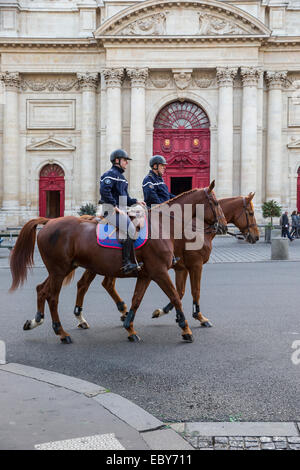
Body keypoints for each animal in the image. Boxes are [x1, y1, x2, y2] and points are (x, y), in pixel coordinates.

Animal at [9, 184, 226, 346]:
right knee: (53, 297)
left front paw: (130, 327)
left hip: (63, 269)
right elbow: (176, 296)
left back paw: (36, 321)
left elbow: (137, 300)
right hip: (60, 271)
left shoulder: (147, 274)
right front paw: (186, 328)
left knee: (43, 290)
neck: (164, 226)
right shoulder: (162, 272)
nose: (223, 226)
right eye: (215, 202)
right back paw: (61, 332)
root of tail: (49, 222)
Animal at [69, 193, 258, 328]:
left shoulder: (181, 268)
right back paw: (83, 317)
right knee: (85, 285)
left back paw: (117, 312)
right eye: (250, 213)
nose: (255, 236)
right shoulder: (194, 265)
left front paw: (163, 311)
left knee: (101, 284)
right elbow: (194, 291)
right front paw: (199, 317)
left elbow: (180, 292)